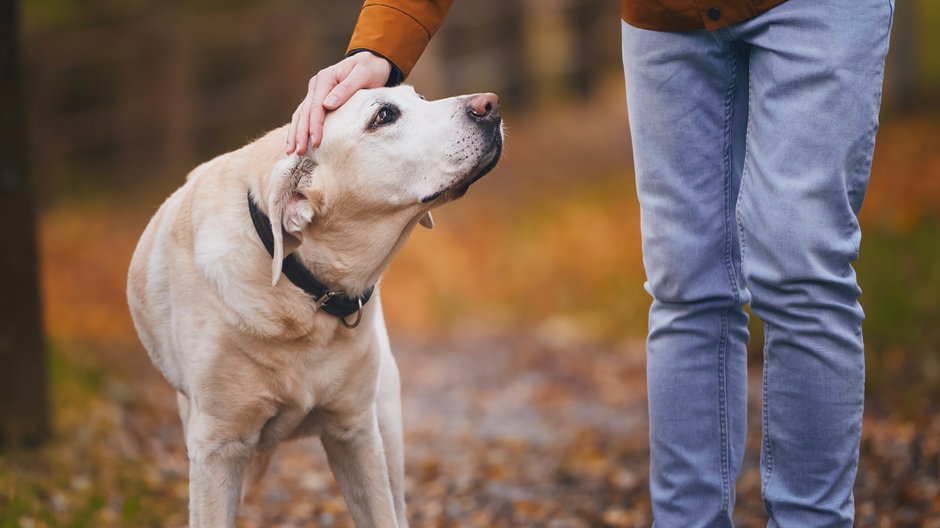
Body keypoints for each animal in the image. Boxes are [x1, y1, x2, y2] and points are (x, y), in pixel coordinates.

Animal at [129, 86, 504, 528]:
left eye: (419, 97)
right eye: (384, 116)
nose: (490, 104)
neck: (303, 295)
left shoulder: (355, 432)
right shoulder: (216, 448)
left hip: (386, 423)